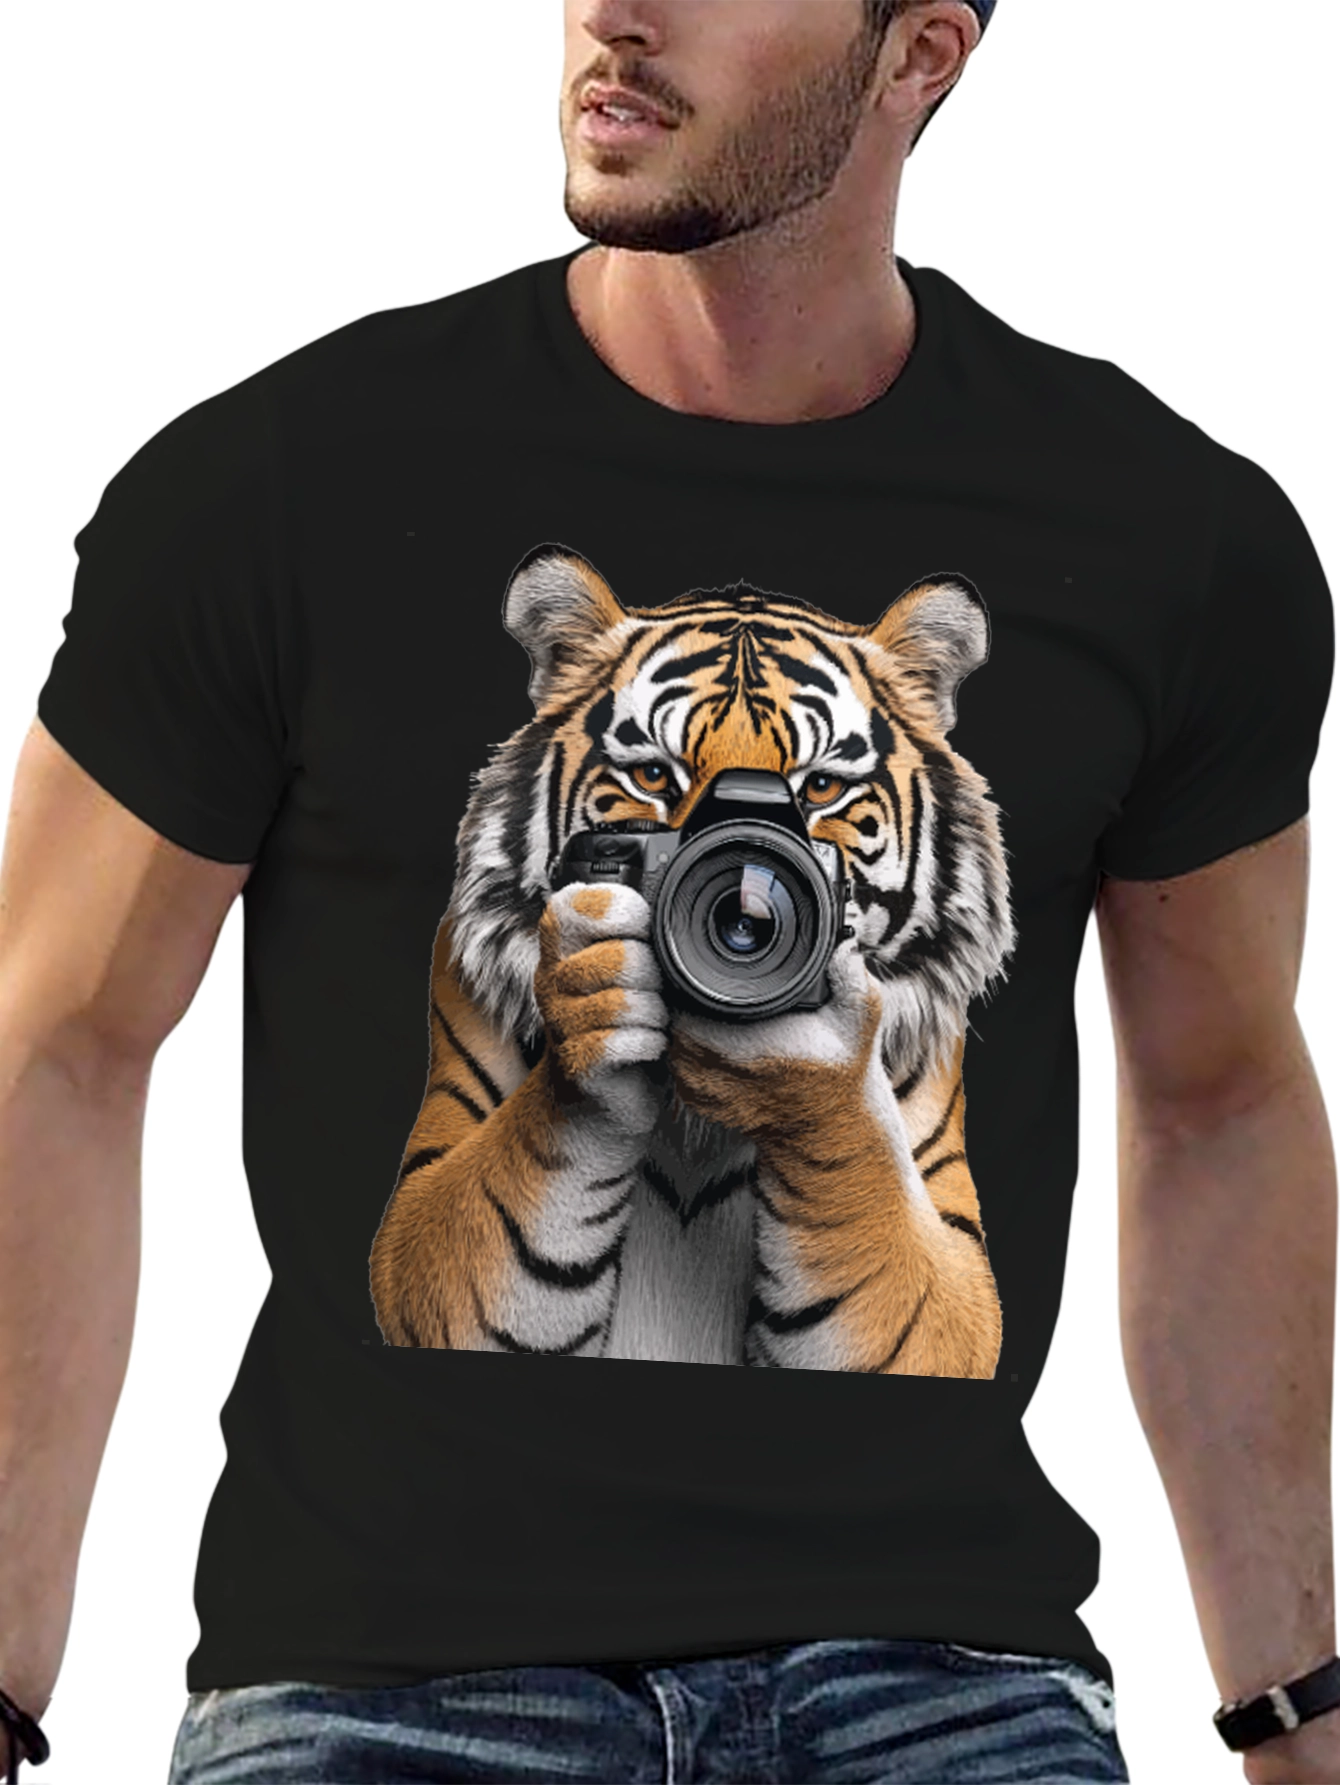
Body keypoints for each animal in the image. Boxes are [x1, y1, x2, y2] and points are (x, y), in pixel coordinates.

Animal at [368, 548, 1014, 1376]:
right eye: (652, 777)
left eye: (823, 787)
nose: (747, 915)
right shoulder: (426, 1226)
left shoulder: (952, 1288)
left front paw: (814, 1087)